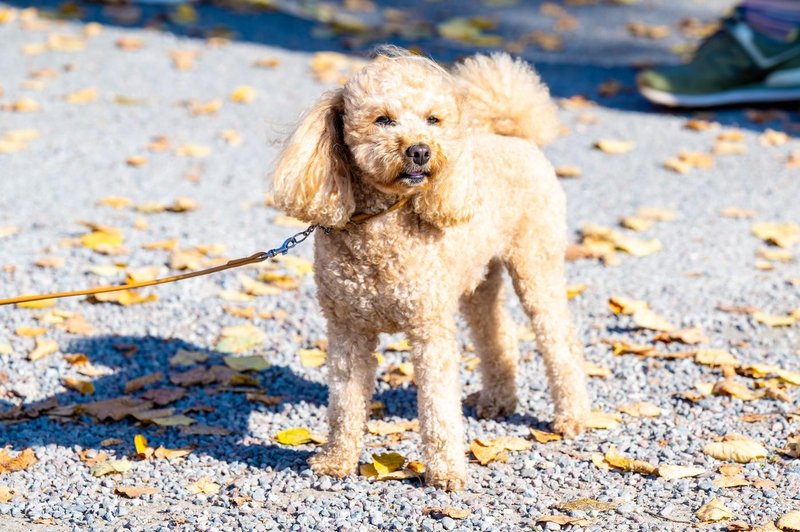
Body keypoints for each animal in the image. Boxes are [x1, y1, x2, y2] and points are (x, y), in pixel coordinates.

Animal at [272, 48, 592, 490]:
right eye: (383, 119)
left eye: (433, 119)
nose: (420, 150)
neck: (383, 222)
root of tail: (515, 137)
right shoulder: (347, 329)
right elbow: (344, 401)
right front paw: (336, 460)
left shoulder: (429, 328)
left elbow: (438, 405)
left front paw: (446, 473)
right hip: (479, 278)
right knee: (496, 334)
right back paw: (498, 401)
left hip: (535, 264)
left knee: (560, 341)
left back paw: (572, 417)